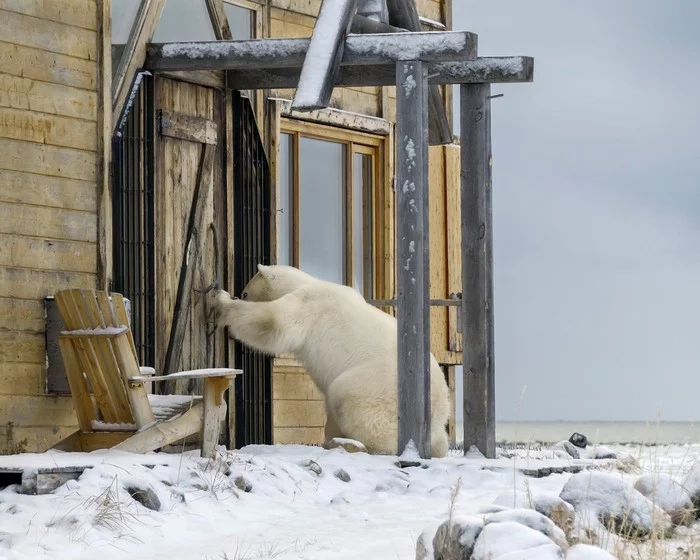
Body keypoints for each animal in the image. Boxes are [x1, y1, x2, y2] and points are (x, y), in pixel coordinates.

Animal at [206, 264, 448, 458]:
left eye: (246, 291)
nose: (239, 294)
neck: (309, 283)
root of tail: (439, 406)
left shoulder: (309, 306)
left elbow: (274, 322)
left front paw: (221, 302)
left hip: (376, 384)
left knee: (347, 399)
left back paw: (367, 446)